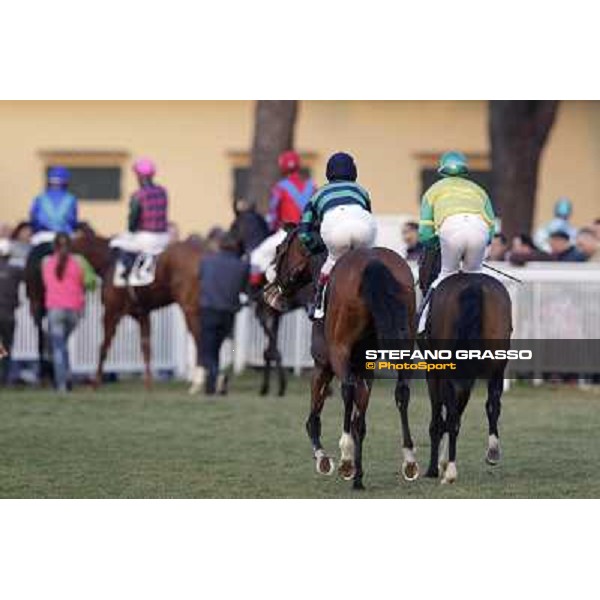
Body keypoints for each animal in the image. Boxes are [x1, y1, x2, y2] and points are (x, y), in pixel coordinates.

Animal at [264, 227, 420, 490]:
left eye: (279, 248)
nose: (270, 288)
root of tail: (373, 262)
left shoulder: (322, 366)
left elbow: (313, 419)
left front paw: (325, 459)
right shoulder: (365, 369)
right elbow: (360, 421)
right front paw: (359, 476)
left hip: (339, 350)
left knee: (346, 389)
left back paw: (346, 458)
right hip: (404, 340)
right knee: (402, 391)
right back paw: (408, 459)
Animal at [418, 246, 510, 486]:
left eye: (421, 259)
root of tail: (473, 287)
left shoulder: (433, 370)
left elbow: (439, 418)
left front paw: (435, 467)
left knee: (450, 416)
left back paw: (450, 471)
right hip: (497, 363)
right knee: (493, 403)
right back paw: (492, 452)